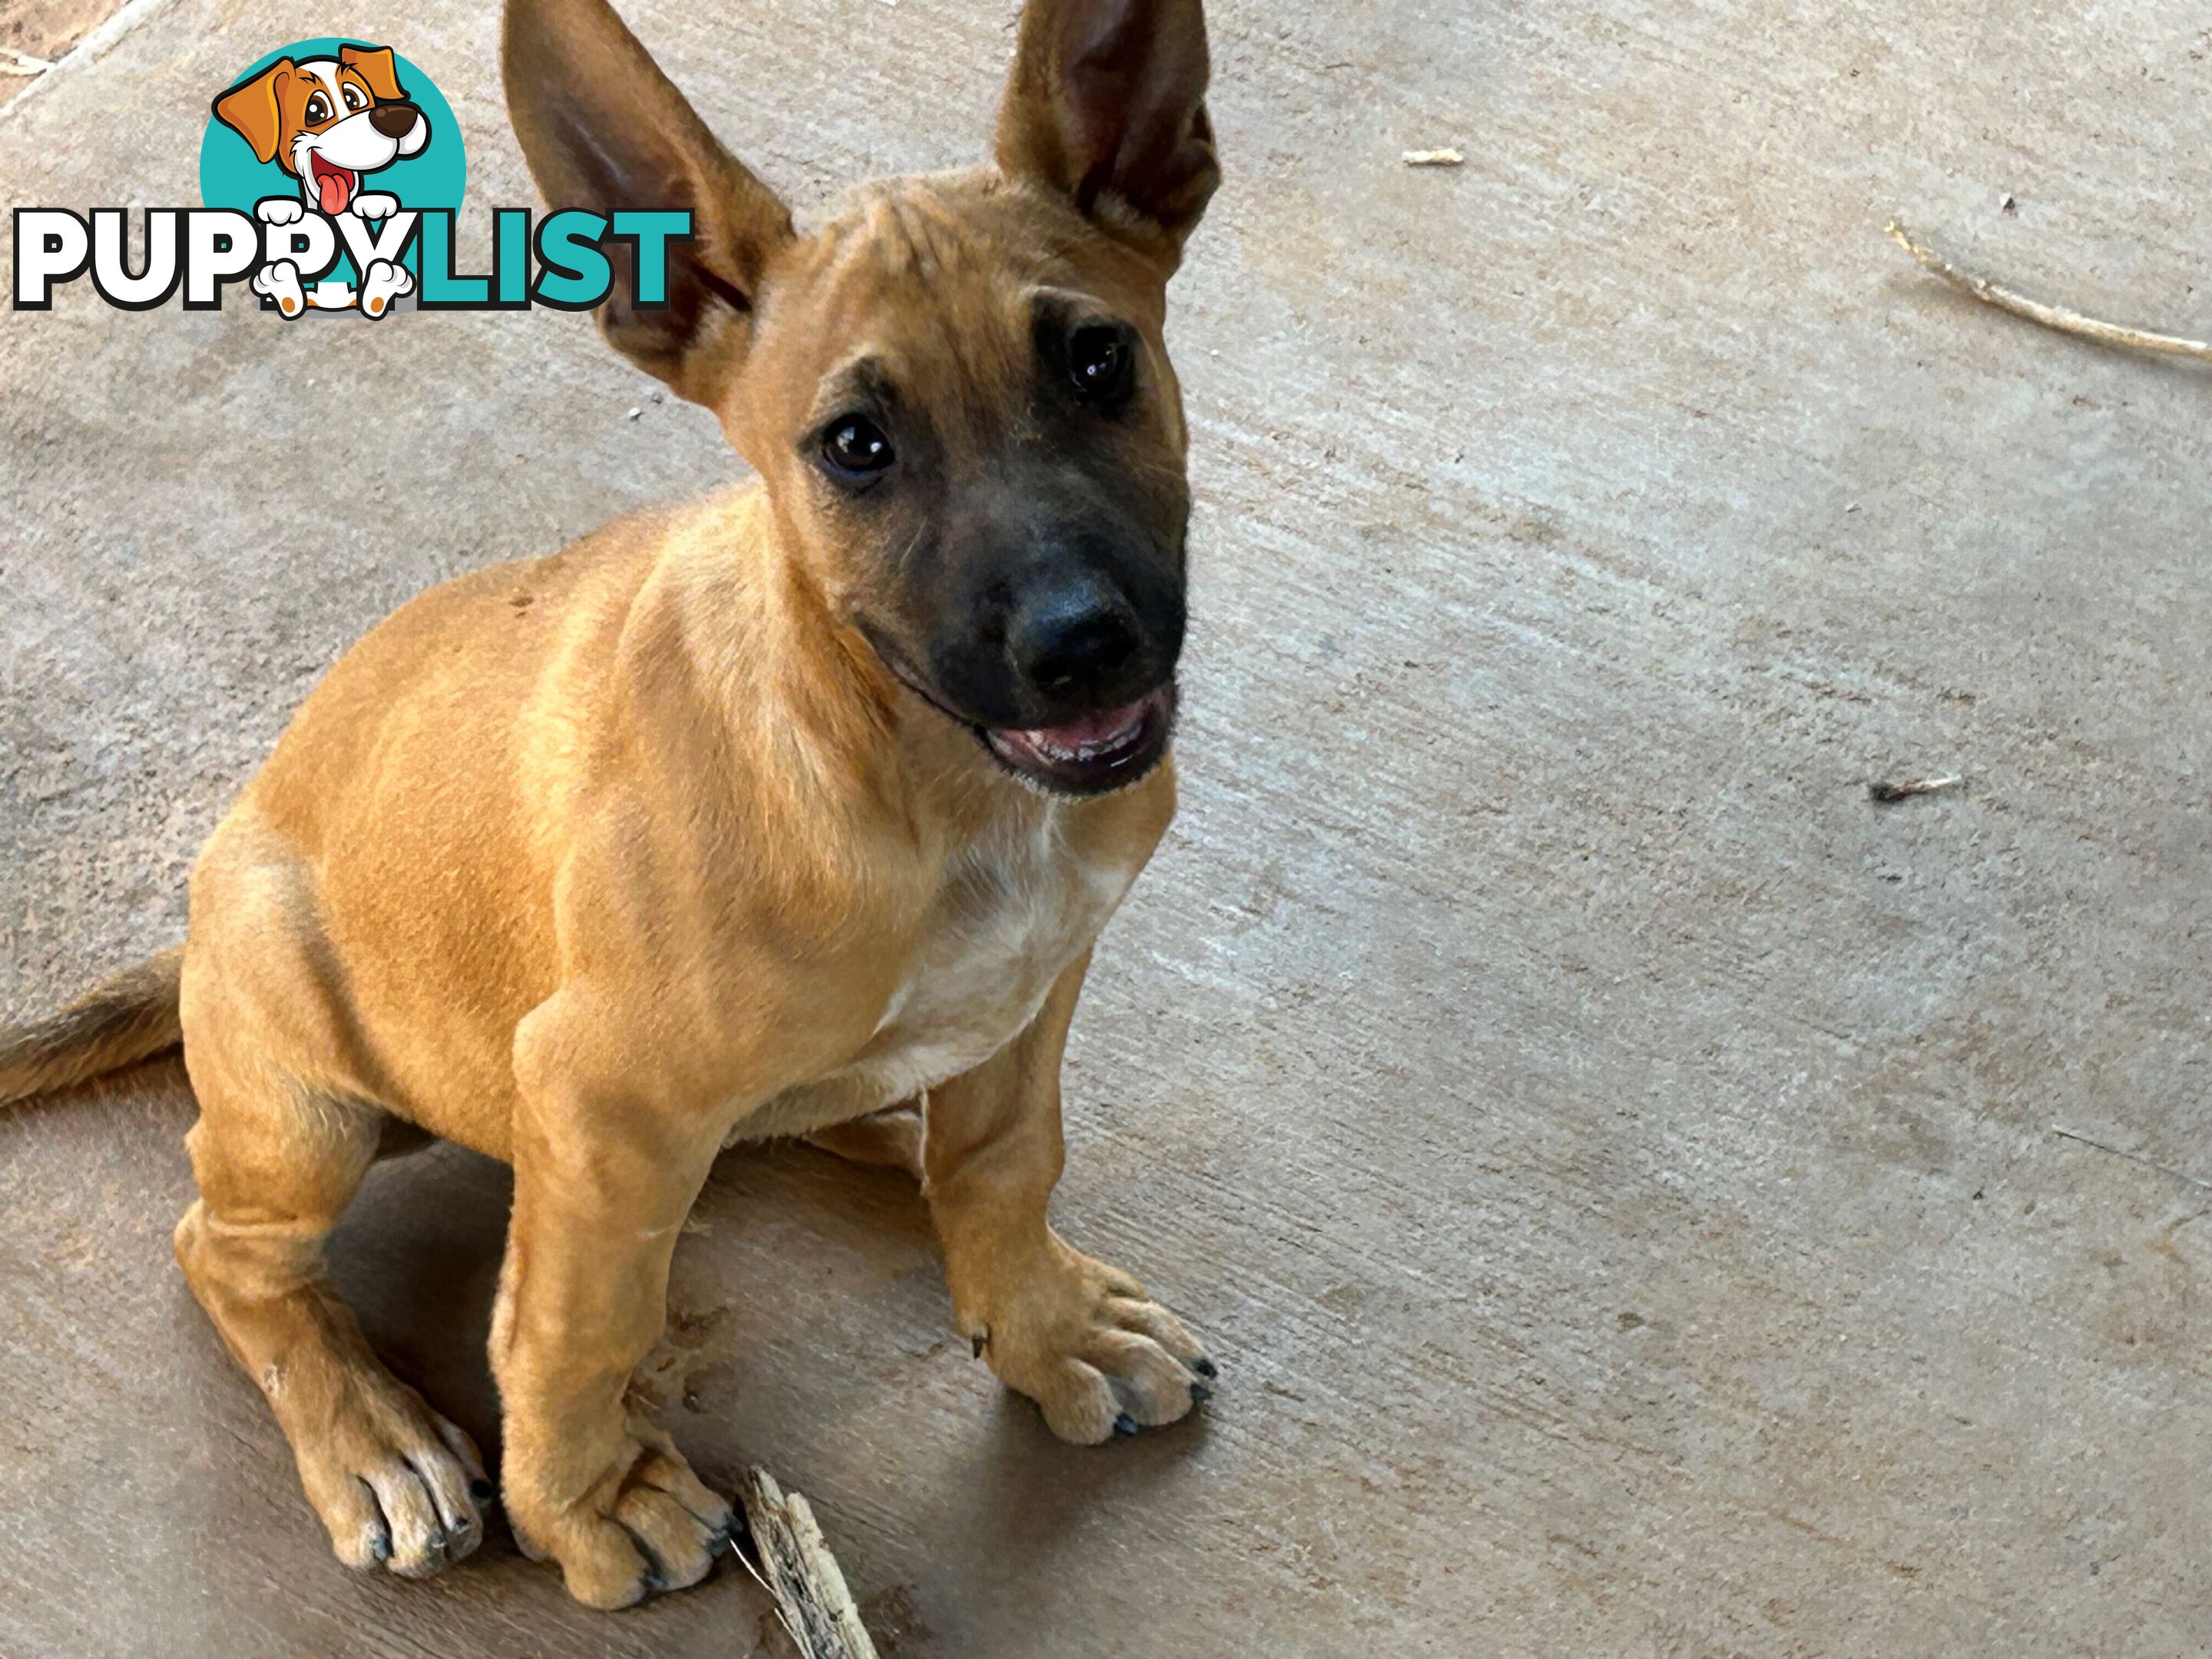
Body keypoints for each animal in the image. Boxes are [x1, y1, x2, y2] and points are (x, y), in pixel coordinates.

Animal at [0, 0, 1212, 1619]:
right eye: (856, 448)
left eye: (1097, 361)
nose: (1083, 646)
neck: (918, 774)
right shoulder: (595, 1091)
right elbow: (575, 1329)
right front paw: (590, 1503)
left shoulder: (1035, 995)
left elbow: (1007, 1163)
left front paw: (1042, 1327)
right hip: (316, 1101)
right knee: (230, 1247)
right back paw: (372, 1438)